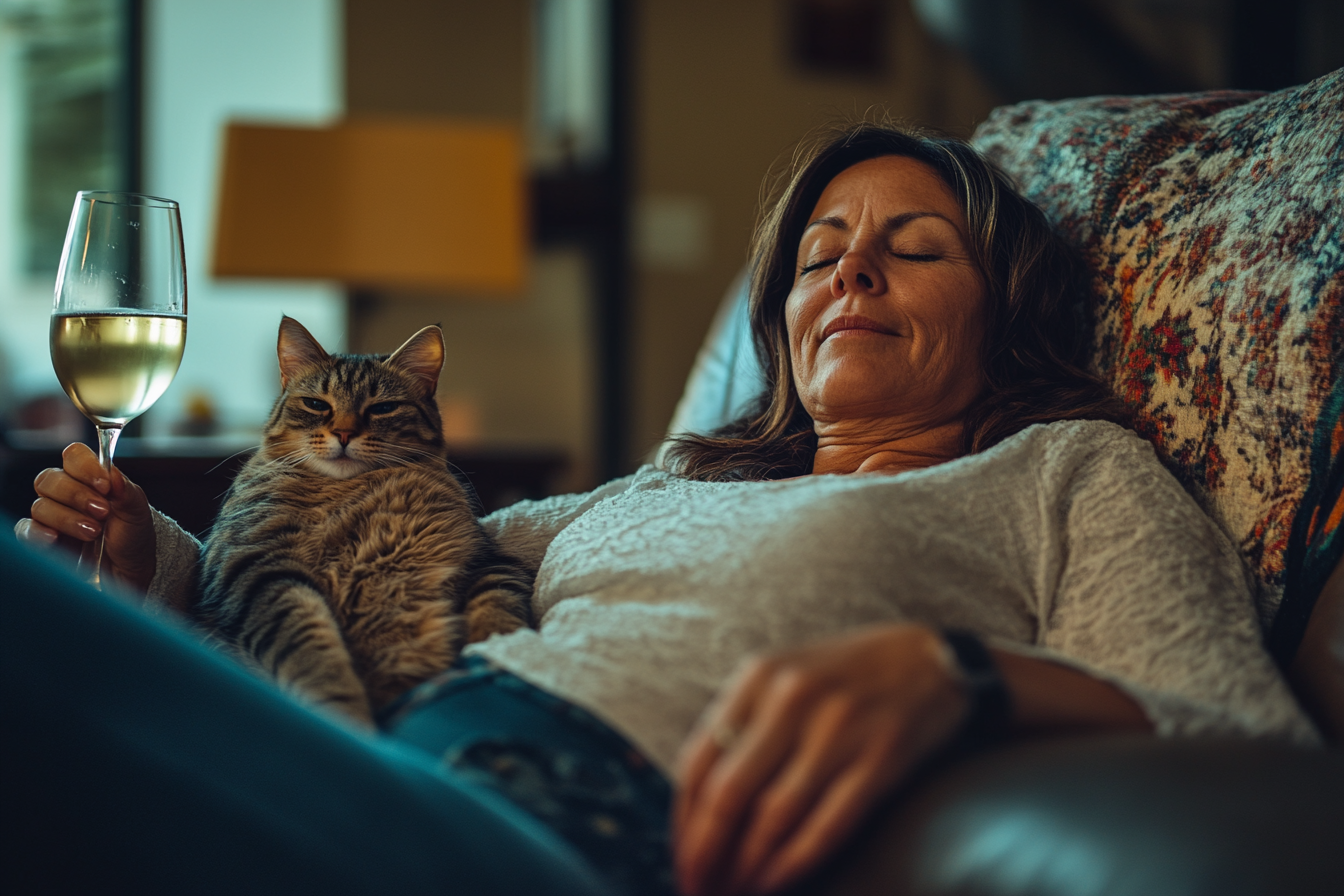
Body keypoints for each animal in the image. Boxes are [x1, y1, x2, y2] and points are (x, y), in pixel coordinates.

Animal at [196, 315, 532, 720]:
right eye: (316, 404)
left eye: (382, 408)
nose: (343, 433)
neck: (351, 490)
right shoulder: (251, 565)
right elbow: (310, 649)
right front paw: (343, 710)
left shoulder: (490, 561)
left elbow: (499, 611)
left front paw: (497, 659)